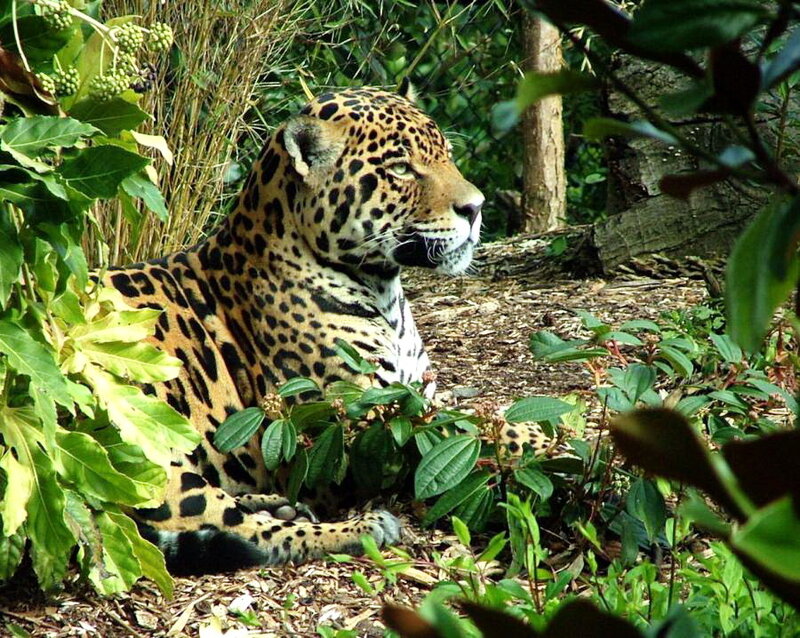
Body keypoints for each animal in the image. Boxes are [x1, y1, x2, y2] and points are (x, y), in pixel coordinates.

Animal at [104, 83, 485, 575]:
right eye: (400, 168)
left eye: (448, 157)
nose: (476, 208)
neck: (385, 292)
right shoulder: (362, 428)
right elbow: (471, 434)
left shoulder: (417, 394)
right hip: (142, 446)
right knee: (248, 533)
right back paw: (359, 527)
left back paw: (279, 503)